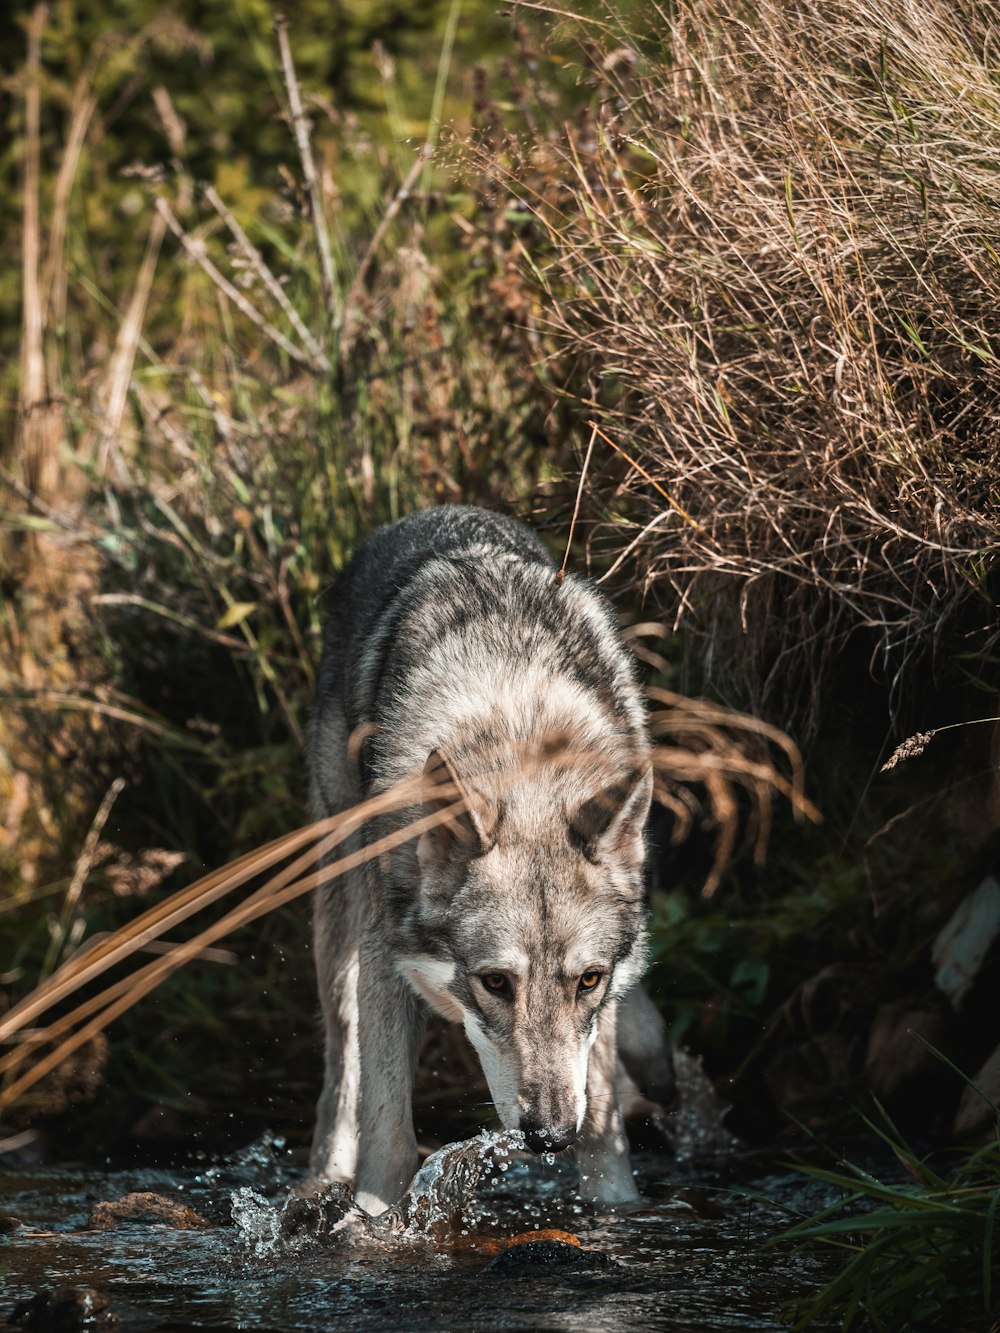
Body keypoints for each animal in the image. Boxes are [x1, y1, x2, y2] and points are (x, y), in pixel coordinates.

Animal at [309, 503, 677, 1215]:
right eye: (496, 983)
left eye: (588, 980)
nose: (549, 1136)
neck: (518, 728)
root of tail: (436, 511)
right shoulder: (384, 958)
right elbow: (387, 1130)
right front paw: (370, 1222)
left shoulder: (599, 1017)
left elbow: (604, 1130)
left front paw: (616, 1211)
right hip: (339, 914)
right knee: (340, 1061)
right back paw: (321, 1174)